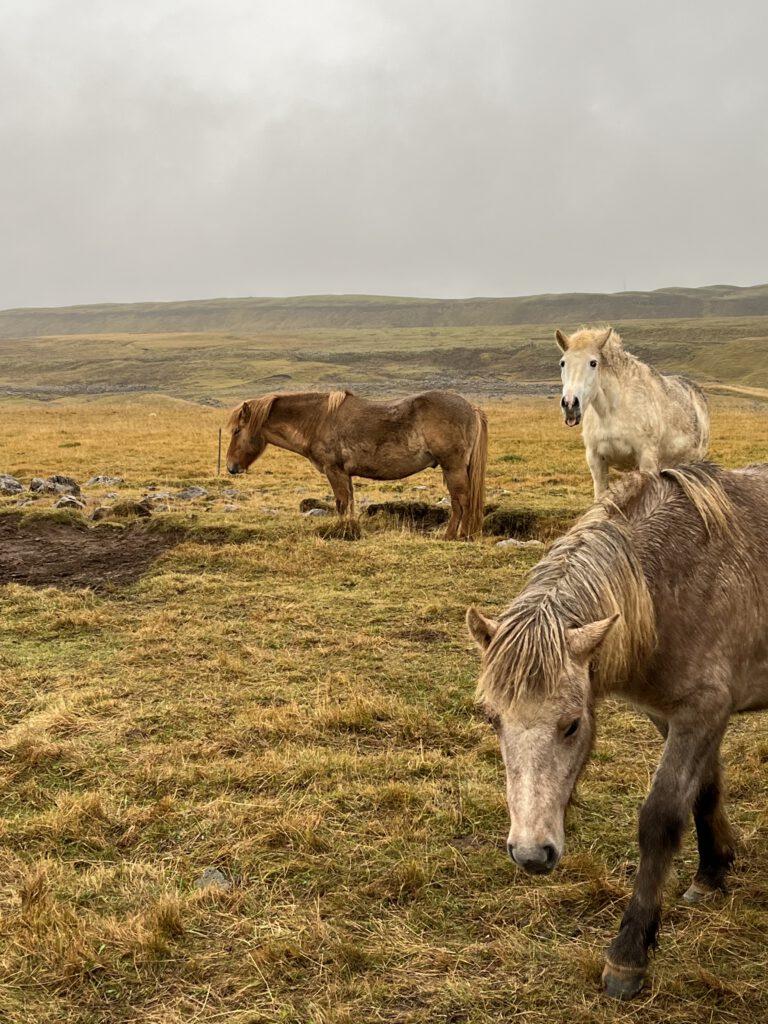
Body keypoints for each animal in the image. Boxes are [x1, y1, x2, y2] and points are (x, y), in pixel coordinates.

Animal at [225, 387, 487, 540]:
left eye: (237, 430)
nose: (231, 466)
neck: (318, 421)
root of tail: (471, 407)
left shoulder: (335, 471)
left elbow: (341, 503)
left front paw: (343, 532)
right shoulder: (345, 474)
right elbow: (349, 503)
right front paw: (351, 529)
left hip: (453, 467)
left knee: (461, 501)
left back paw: (455, 536)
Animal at [466, 464, 768, 999]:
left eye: (572, 725)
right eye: (492, 719)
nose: (531, 854)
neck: (674, 583)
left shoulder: (701, 713)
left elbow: (662, 817)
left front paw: (628, 955)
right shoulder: (676, 717)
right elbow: (706, 790)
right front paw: (712, 874)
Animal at [557, 325, 712, 497]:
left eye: (593, 363)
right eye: (563, 363)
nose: (570, 404)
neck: (611, 411)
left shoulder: (647, 461)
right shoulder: (596, 461)